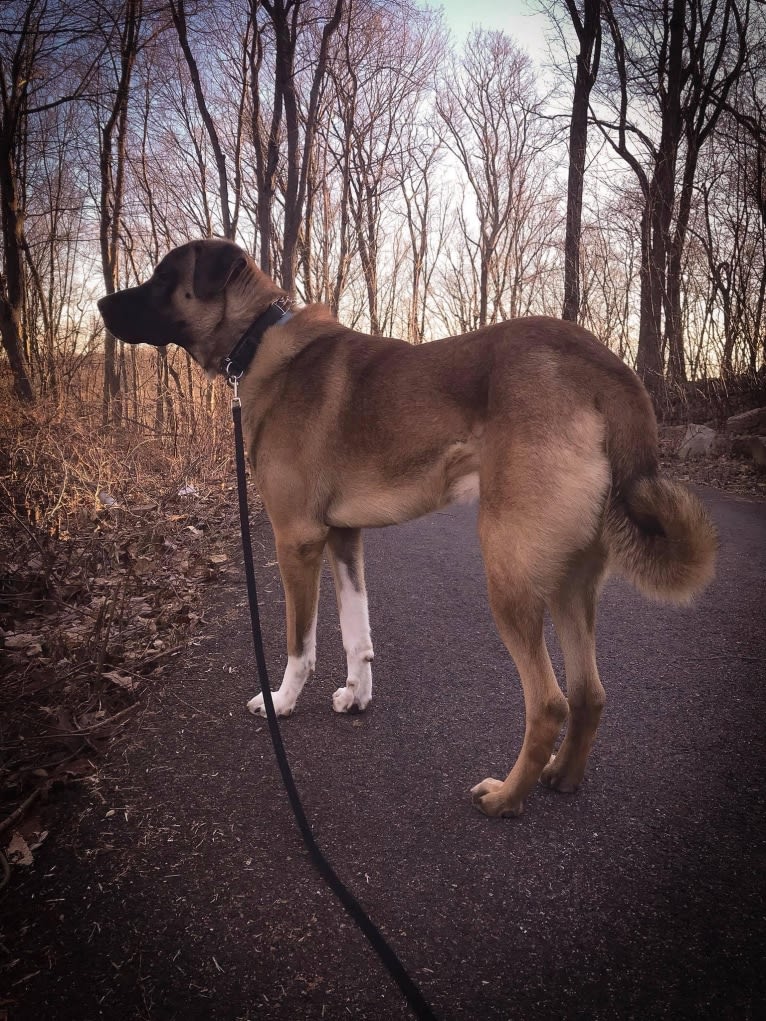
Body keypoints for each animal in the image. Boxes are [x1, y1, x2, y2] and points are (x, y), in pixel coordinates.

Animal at [97, 236, 719, 812]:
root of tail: (605, 368)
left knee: (549, 703)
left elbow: (301, 641)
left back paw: (505, 798)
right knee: (589, 694)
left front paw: (282, 702)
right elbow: (357, 633)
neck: (260, 338)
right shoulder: (343, 537)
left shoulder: (296, 539)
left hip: (509, 573)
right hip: (569, 580)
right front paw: (355, 697)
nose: (100, 303)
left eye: (162, 278)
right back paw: (562, 776)